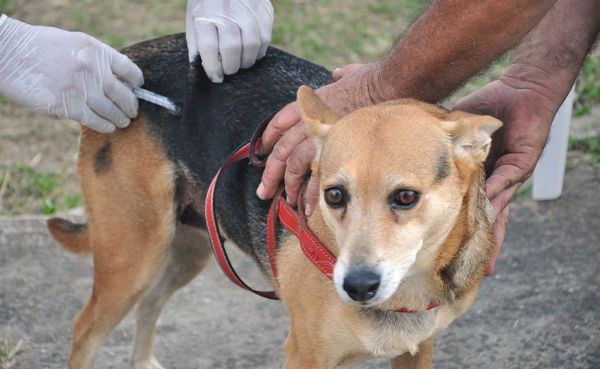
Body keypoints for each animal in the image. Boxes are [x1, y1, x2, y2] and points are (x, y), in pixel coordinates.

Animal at [47, 32, 500, 368]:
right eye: (334, 195)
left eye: (406, 197)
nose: (356, 286)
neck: (410, 288)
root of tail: (131, 61)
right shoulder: (304, 355)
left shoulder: (417, 351)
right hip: (134, 255)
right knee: (84, 329)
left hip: (189, 248)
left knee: (150, 304)